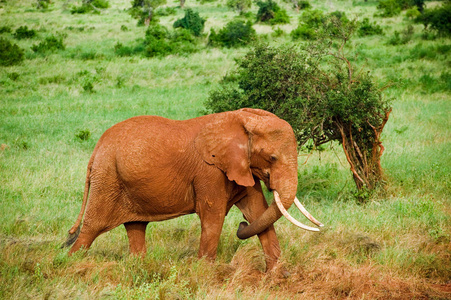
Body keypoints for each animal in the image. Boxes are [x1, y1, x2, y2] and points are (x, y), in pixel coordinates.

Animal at [65, 108, 324, 272]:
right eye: (272, 157)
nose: (240, 226)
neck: (241, 119)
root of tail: (95, 150)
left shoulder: (241, 166)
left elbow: (258, 213)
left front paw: (279, 276)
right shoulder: (209, 171)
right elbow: (213, 216)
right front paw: (205, 275)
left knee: (135, 227)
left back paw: (138, 267)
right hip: (107, 178)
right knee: (91, 228)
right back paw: (69, 265)